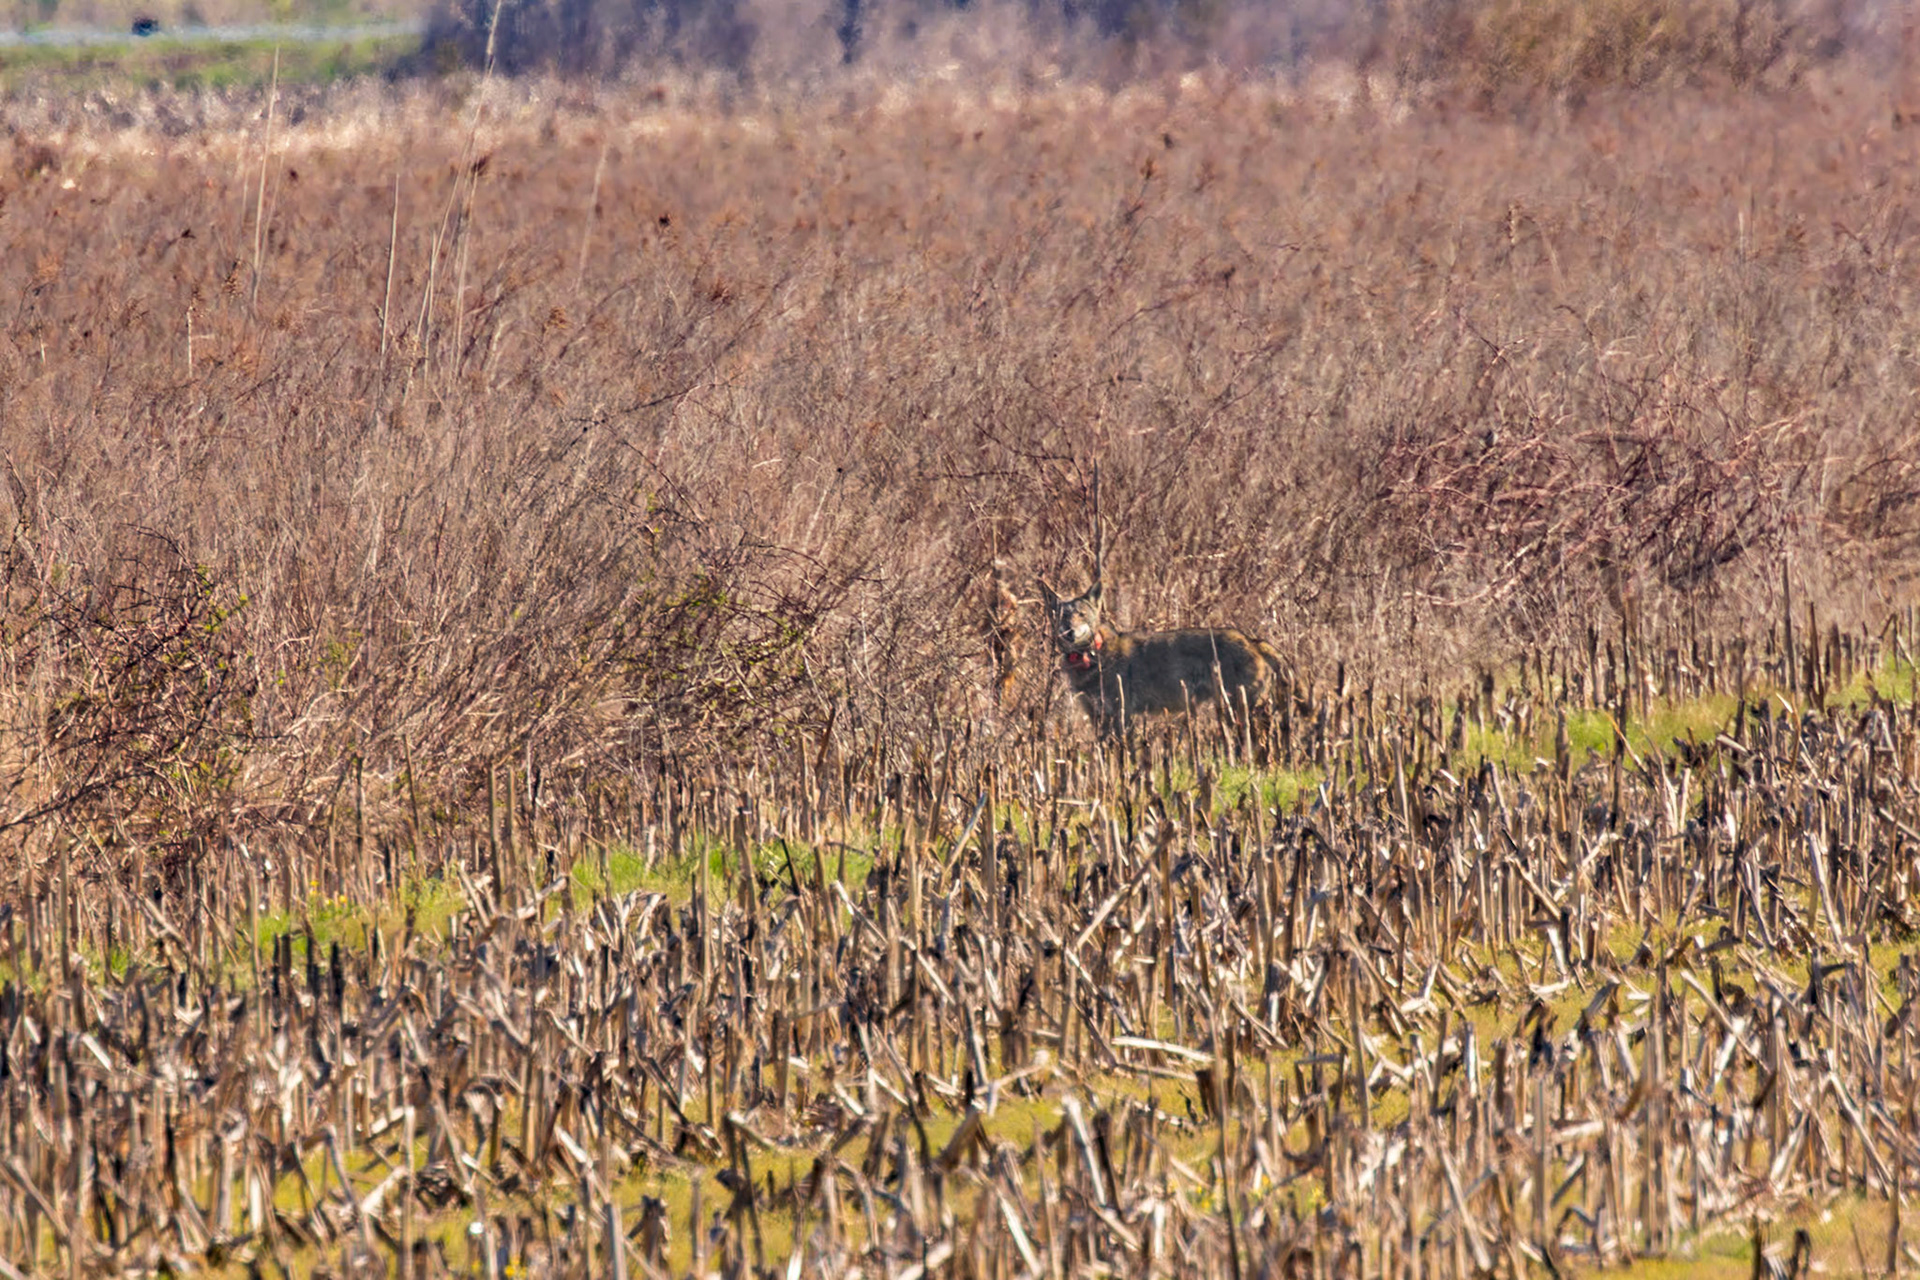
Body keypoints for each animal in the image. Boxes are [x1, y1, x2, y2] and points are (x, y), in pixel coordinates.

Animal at [1038, 579, 1288, 738]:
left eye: (1081, 615)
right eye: (1063, 616)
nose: (1069, 633)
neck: (1092, 657)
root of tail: (1253, 641)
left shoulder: (1122, 716)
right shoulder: (1098, 718)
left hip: (1238, 711)